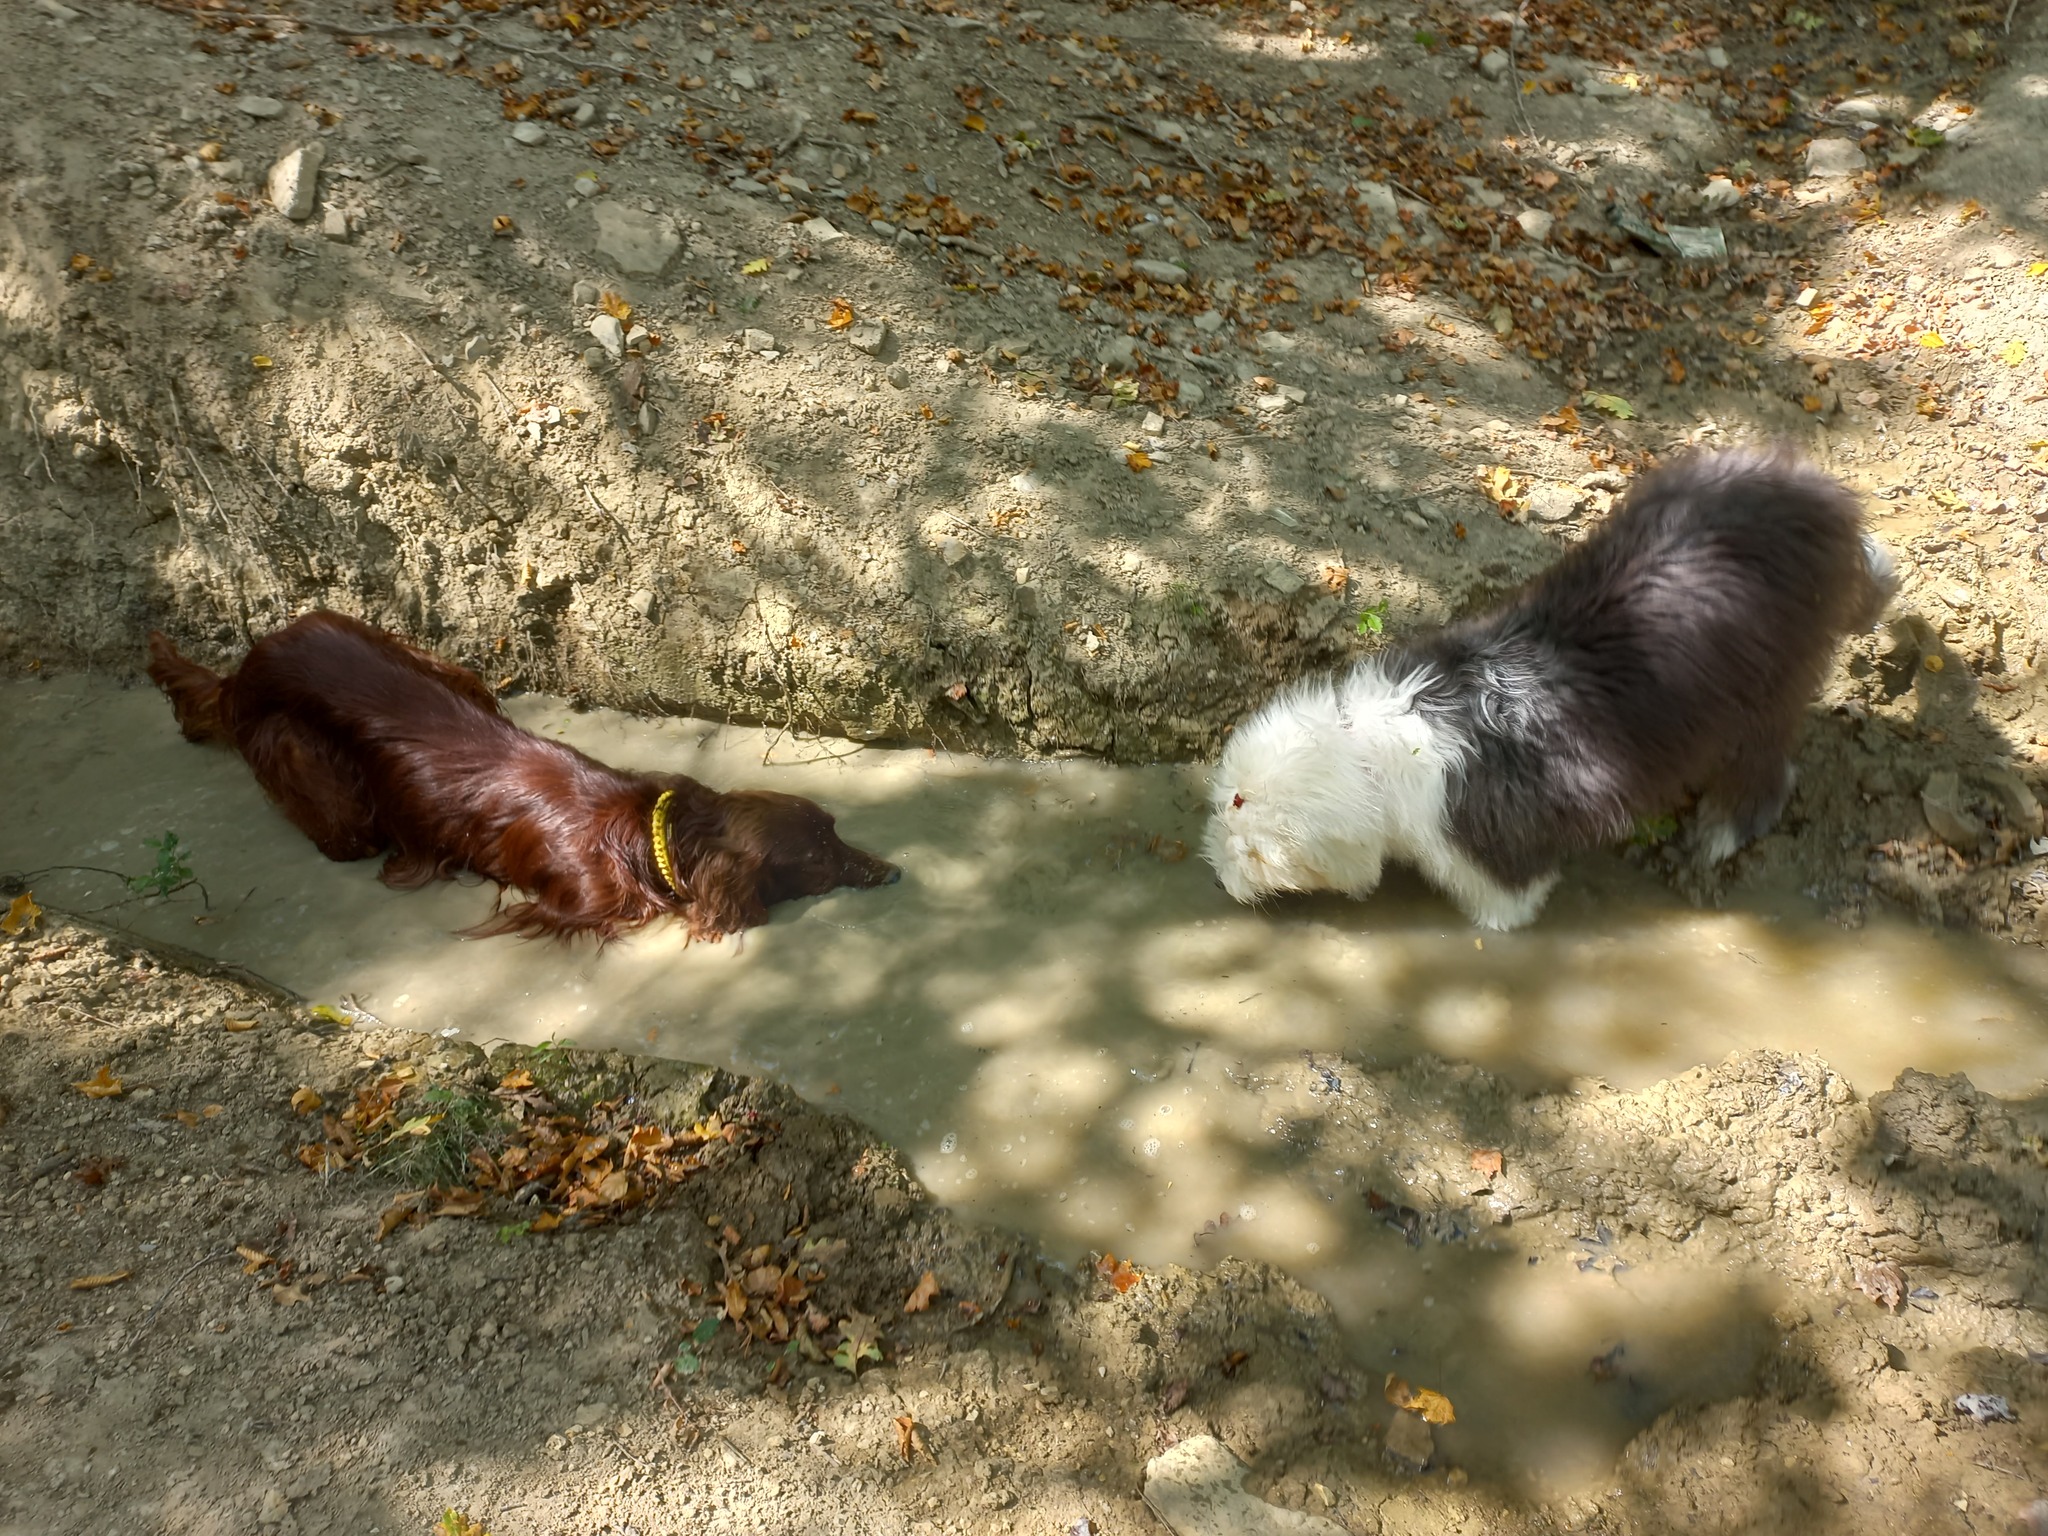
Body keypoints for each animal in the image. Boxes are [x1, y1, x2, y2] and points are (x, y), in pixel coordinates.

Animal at [144, 610, 897, 946]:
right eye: (818, 860)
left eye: (836, 831)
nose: (892, 871)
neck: (646, 832)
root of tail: (247, 668)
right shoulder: (578, 903)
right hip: (324, 786)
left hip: (448, 668)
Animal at [1204, 444, 1892, 925]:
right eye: (1228, 802)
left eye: (1256, 848)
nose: (1219, 881)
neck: (1382, 742)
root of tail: (1820, 498)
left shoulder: (1488, 842)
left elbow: (1506, 899)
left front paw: (1498, 921)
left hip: (1767, 685)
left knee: (1766, 768)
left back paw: (1719, 831)